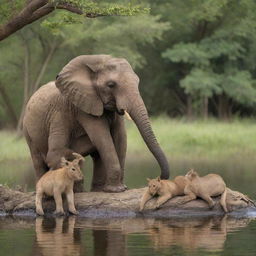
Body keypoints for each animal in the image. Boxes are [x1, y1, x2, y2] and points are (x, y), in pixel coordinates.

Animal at [22, 55, 170, 193]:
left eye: (137, 81)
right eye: (111, 85)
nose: (159, 178)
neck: (98, 60)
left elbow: (120, 137)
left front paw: (120, 188)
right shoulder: (83, 106)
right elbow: (102, 137)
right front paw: (116, 190)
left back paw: (95, 190)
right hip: (28, 131)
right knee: (39, 160)